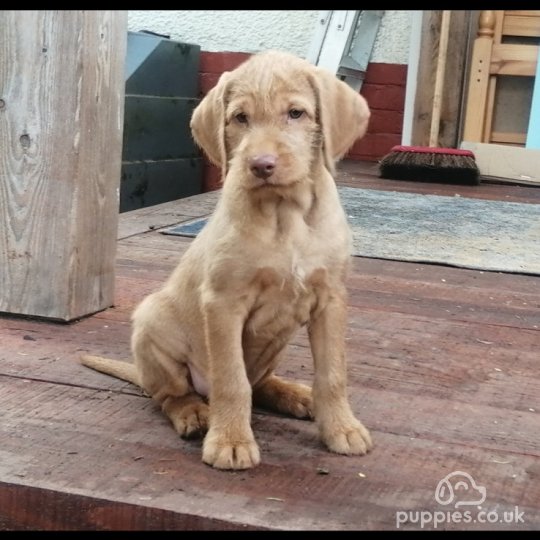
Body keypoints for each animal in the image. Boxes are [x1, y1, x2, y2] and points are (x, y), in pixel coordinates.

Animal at [82, 50, 374, 468]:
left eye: (296, 113)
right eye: (240, 118)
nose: (261, 165)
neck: (285, 214)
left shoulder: (330, 299)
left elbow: (332, 373)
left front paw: (341, 428)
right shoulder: (223, 303)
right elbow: (231, 381)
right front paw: (231, 441)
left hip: (274, 345)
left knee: (260, 383)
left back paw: (295, 395)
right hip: (152, 320)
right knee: (172, 394)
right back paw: (194, 413)